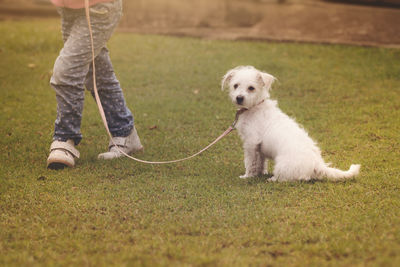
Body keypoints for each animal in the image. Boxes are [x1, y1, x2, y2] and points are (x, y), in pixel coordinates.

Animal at [220, 66, 360, 182]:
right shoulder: (258, 147)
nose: (239, 98)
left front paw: (248, 176)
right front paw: (261, 172)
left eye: (251, 88)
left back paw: (272, 179)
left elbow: (250, 162)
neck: (254, 107)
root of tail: (317, 164)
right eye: (235, 85)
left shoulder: (251, 143)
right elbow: (261, 162)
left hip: (282, 165)